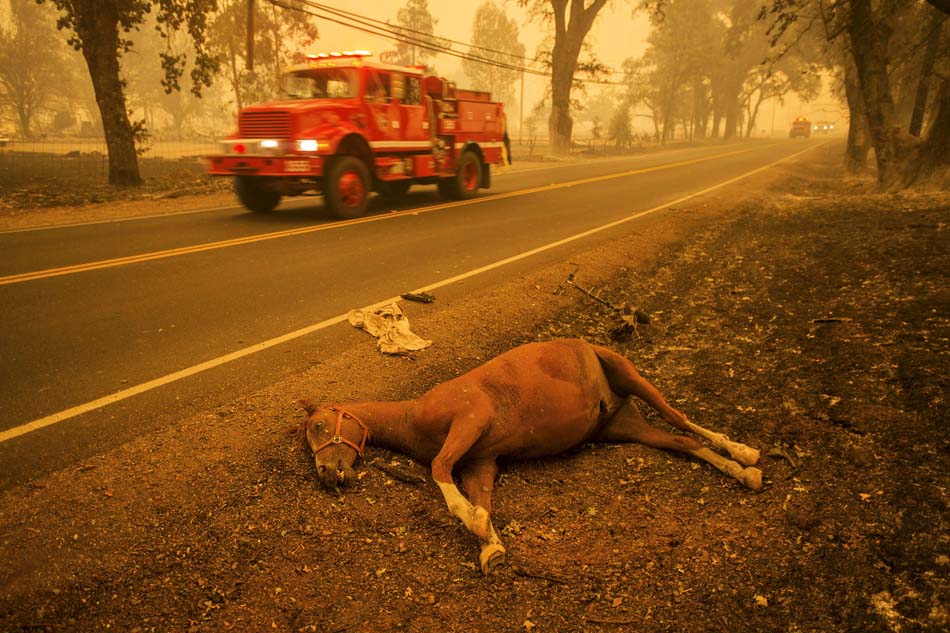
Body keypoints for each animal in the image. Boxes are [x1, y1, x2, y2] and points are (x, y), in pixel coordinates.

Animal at [302, 338, 764, 576]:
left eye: (320, 426)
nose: (326, 473)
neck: (414, 416)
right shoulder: (480, 463)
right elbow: (481, 499)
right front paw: (489, 543)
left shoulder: (470, 418)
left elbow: (438, 470)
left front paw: (475, 523)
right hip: (626, 427)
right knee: (683, 443)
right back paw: (744, 474)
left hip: (631, 376)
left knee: (682, 420)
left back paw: (745, 453)